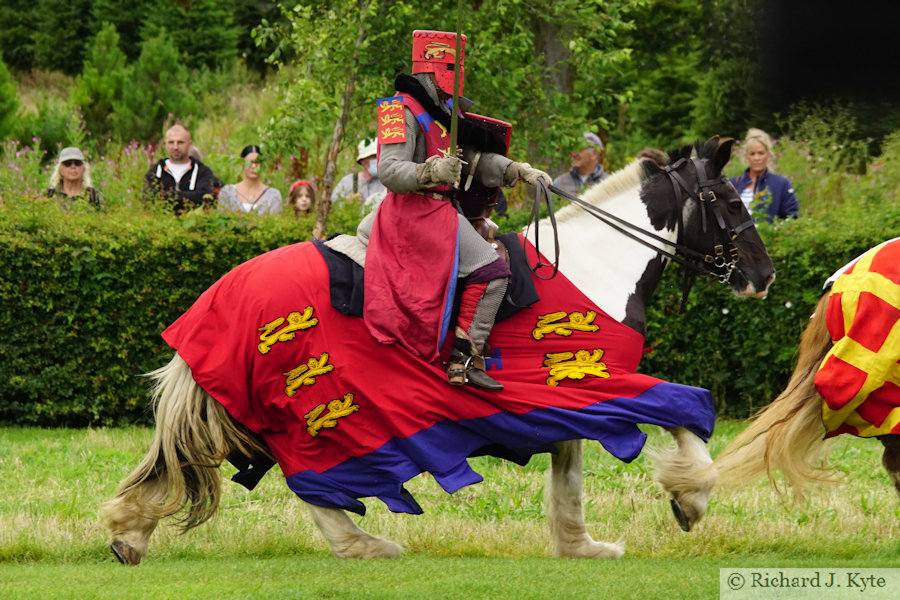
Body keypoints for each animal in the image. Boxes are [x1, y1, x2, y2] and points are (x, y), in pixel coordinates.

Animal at [100, 136, 772, 564]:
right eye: (728, 200)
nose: (762, 276)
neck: (592, 267)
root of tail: (226, 292)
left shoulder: (564, 401)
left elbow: (571, 476)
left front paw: (580, 545)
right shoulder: (595, 384)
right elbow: (683, 406)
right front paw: (691, 497)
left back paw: (132, 532)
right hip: (316, 413)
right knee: (307, 480)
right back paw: (364, 545)